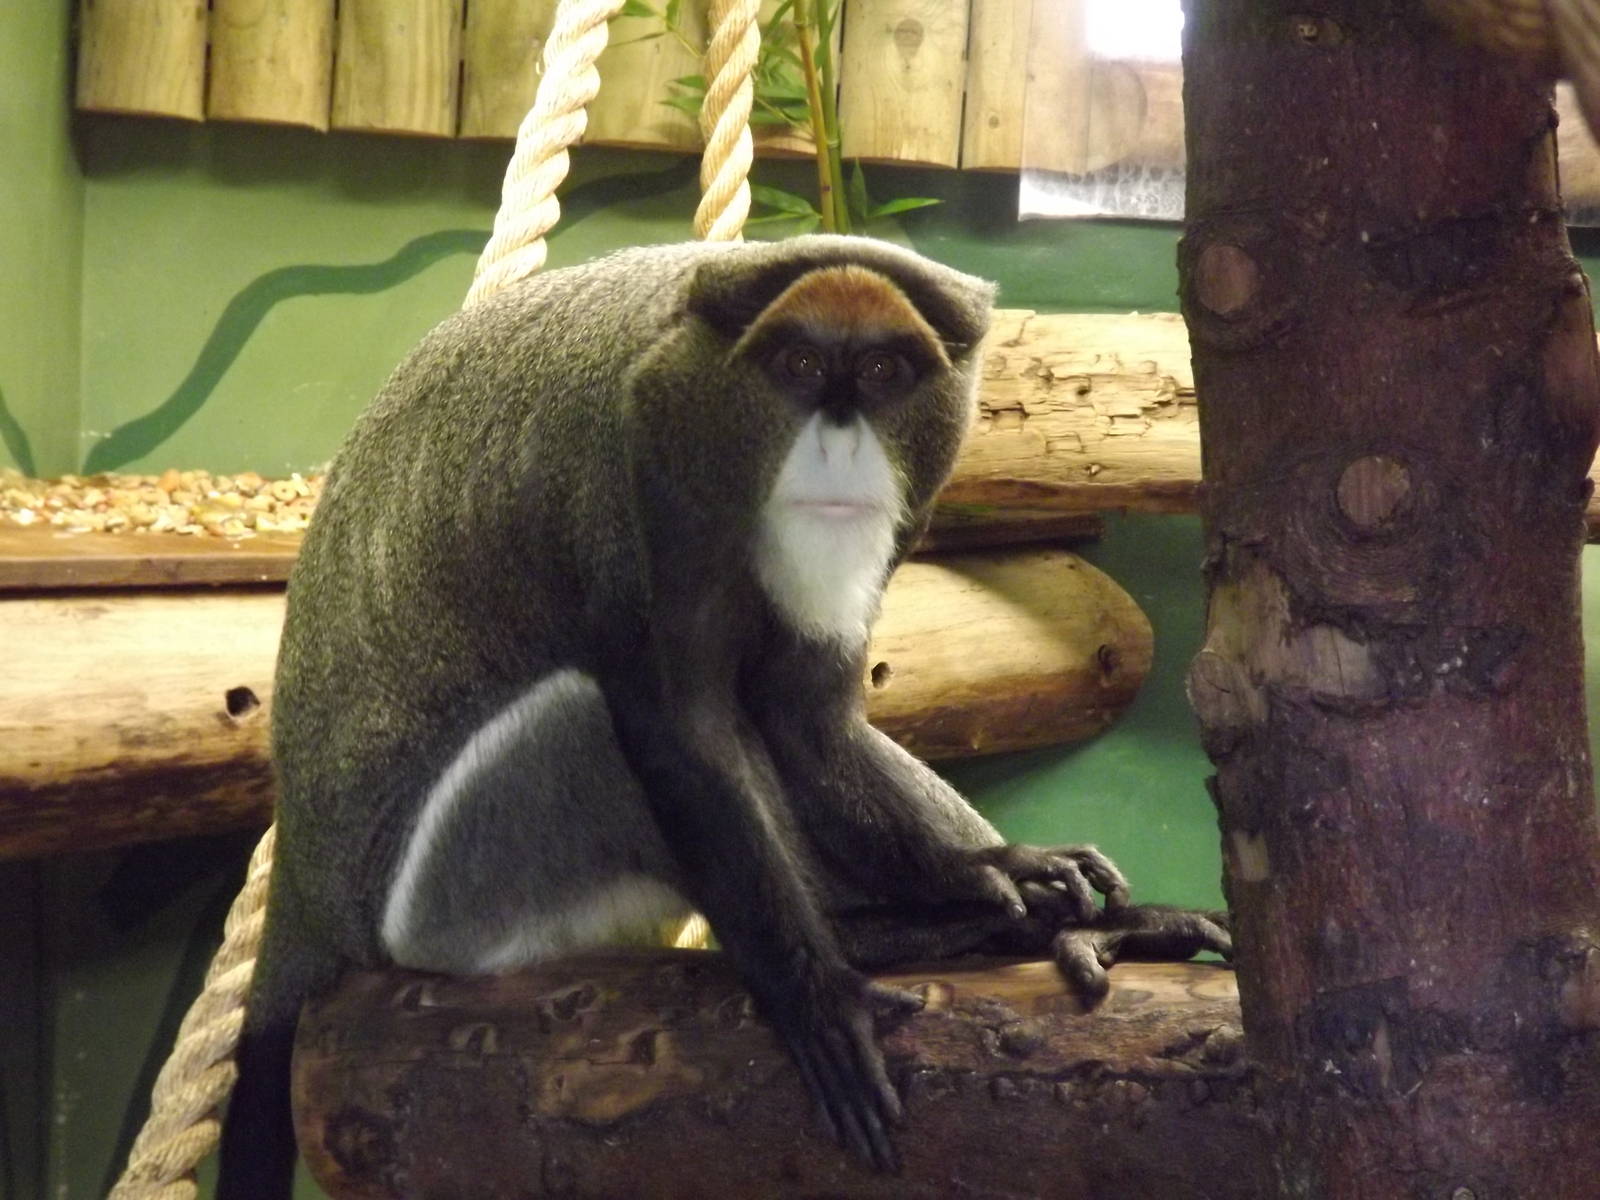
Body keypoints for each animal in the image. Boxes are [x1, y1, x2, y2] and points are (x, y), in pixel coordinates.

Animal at [216, 235, 1230, 1197]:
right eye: (796, 365)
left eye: (883, 372)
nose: (839, 438)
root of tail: (309, 890)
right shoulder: (631, 461)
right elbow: (683, 723)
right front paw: (820, 994)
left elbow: (806, 712)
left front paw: (1003, 873)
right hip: (451, 901)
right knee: (581, 715)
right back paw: (896, 938)